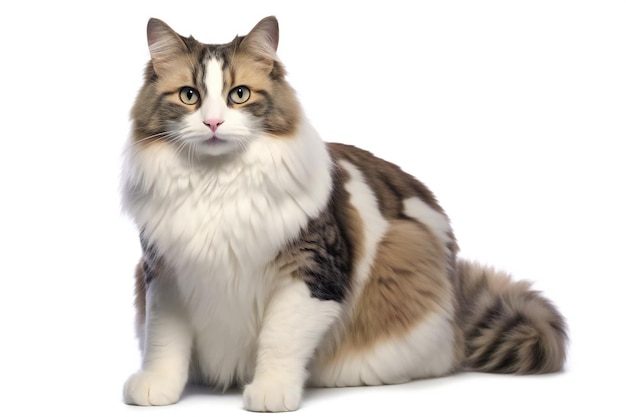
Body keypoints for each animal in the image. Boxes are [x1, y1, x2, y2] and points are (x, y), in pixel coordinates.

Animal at [120, 15, 564, 410]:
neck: (217, 183)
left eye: (239, 95)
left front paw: (271, 392)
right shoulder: (166, 275)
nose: (213, 123)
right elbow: (165, 341)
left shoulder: (312, 273)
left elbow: (279, 339)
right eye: (189, 96)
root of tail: (458, 308)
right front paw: (158, 387)